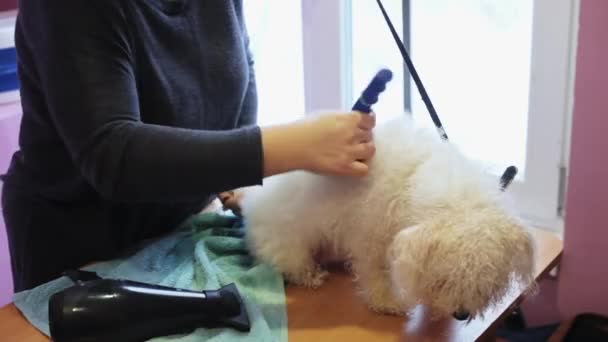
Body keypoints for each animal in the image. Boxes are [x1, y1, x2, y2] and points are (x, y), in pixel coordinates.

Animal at [240, 113, 536, 320]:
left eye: (484, 281)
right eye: (443, 280)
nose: (461, 314)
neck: (413, 178)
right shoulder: (369, 237)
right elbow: (375, 275)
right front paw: (388, 303)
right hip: (289, 241)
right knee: (289, 260)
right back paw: (310, 275)